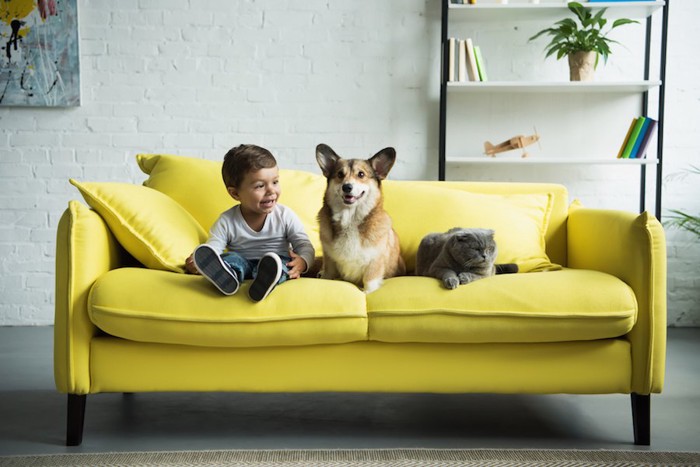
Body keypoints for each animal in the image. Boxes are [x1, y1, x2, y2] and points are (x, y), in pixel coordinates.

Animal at [316, 144, 408, 294]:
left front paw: (367, 293)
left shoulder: (374, 262)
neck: (350, 218)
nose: (347, 187)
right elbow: (327, 275)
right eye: (340, 174)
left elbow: (369, 283)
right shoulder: (329, 260)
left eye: (361, 174)